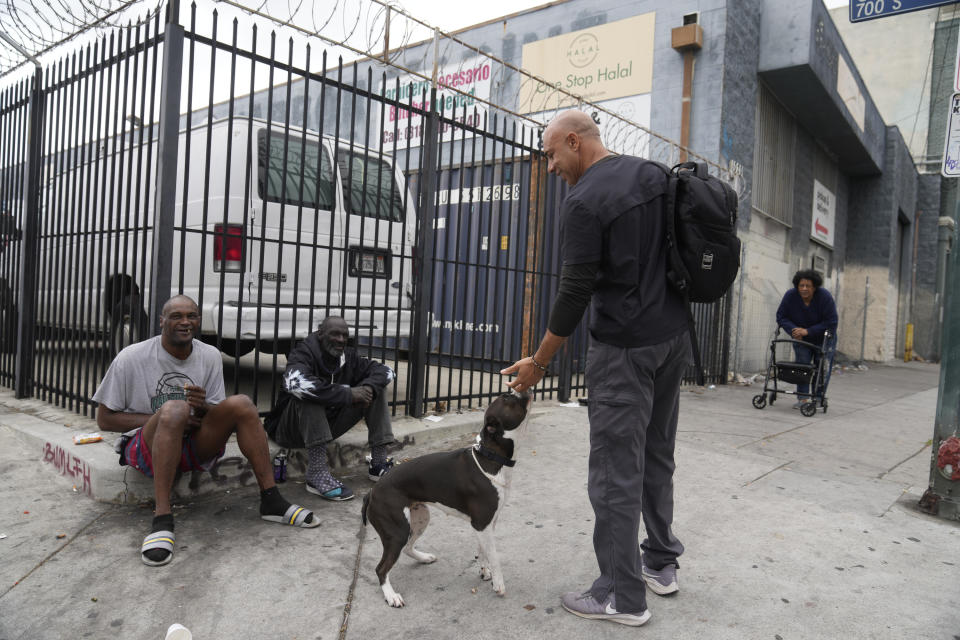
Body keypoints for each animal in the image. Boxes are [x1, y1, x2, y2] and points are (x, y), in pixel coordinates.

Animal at [362, 390, 532, 604]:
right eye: (507, 398)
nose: (523, 389)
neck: (490, 457)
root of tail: (372, 492)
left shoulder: (486, 525)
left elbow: (482, 550)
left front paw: (485, 571)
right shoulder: (482, 524)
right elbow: (494, 556)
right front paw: (499, 585)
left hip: (420, 517)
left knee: (408, 547)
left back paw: (424, 558)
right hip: (397, 531)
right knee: (381, 568)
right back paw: (391, 596)